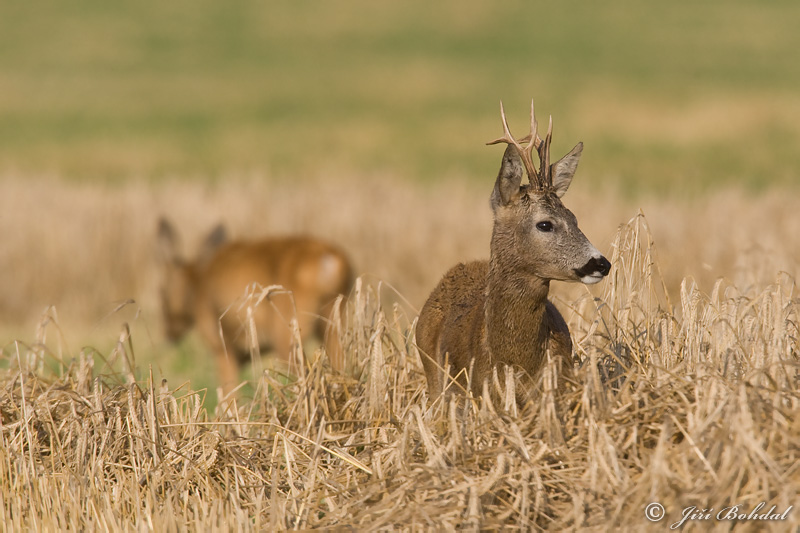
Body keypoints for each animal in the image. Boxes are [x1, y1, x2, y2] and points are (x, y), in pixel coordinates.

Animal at [156, 218, 354, 392]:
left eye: (161, 293)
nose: (168, 335)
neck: (198, 287)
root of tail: (332, 261)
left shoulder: (222, 348)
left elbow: (229, 396)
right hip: (333, 322)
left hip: (287, 331)